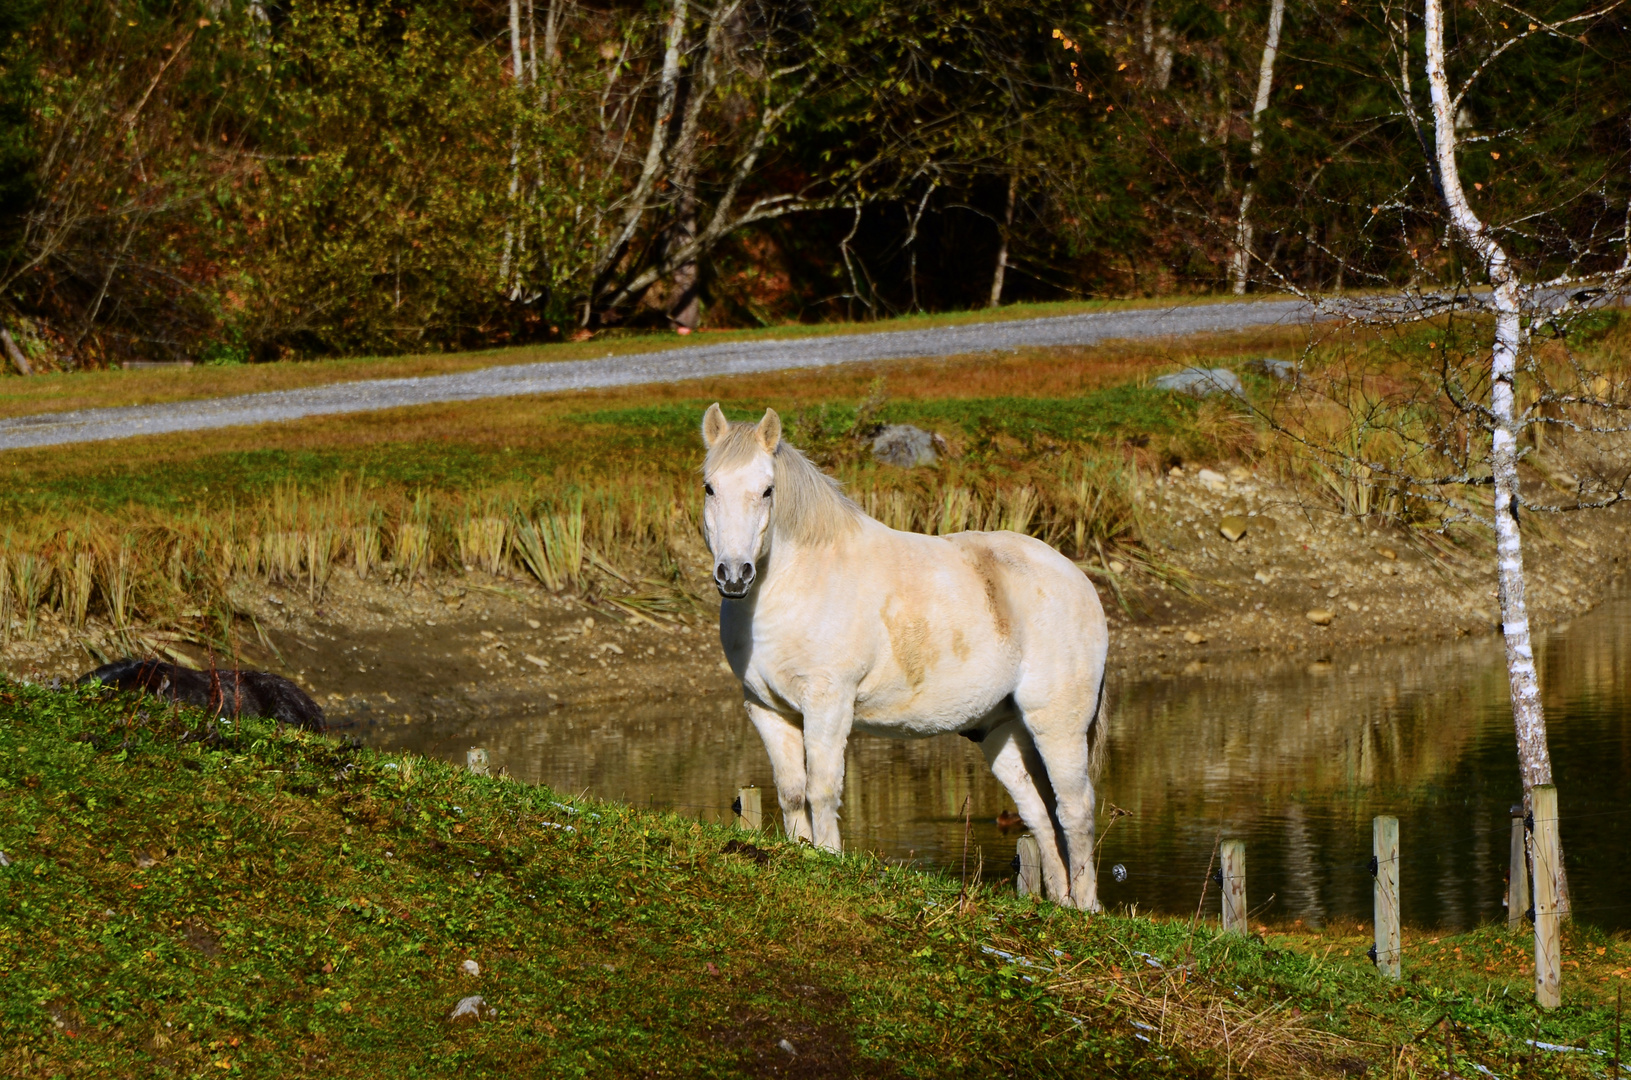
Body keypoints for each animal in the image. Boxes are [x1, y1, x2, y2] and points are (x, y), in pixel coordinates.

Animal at [701, 401, 1109, 907]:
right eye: (710, 486)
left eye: (767, 490)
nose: (734, 574)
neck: (797, 584)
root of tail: (1078, 579)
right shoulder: (767, 710)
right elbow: (793, 792)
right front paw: (801, 854)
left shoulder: (829, 705)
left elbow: (822, 790)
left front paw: (828, 860)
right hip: (1002, 733)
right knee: (1039, 813)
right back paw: (1059, 903)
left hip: (1057, 725)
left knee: (1074, 809)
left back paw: (1086, 908)